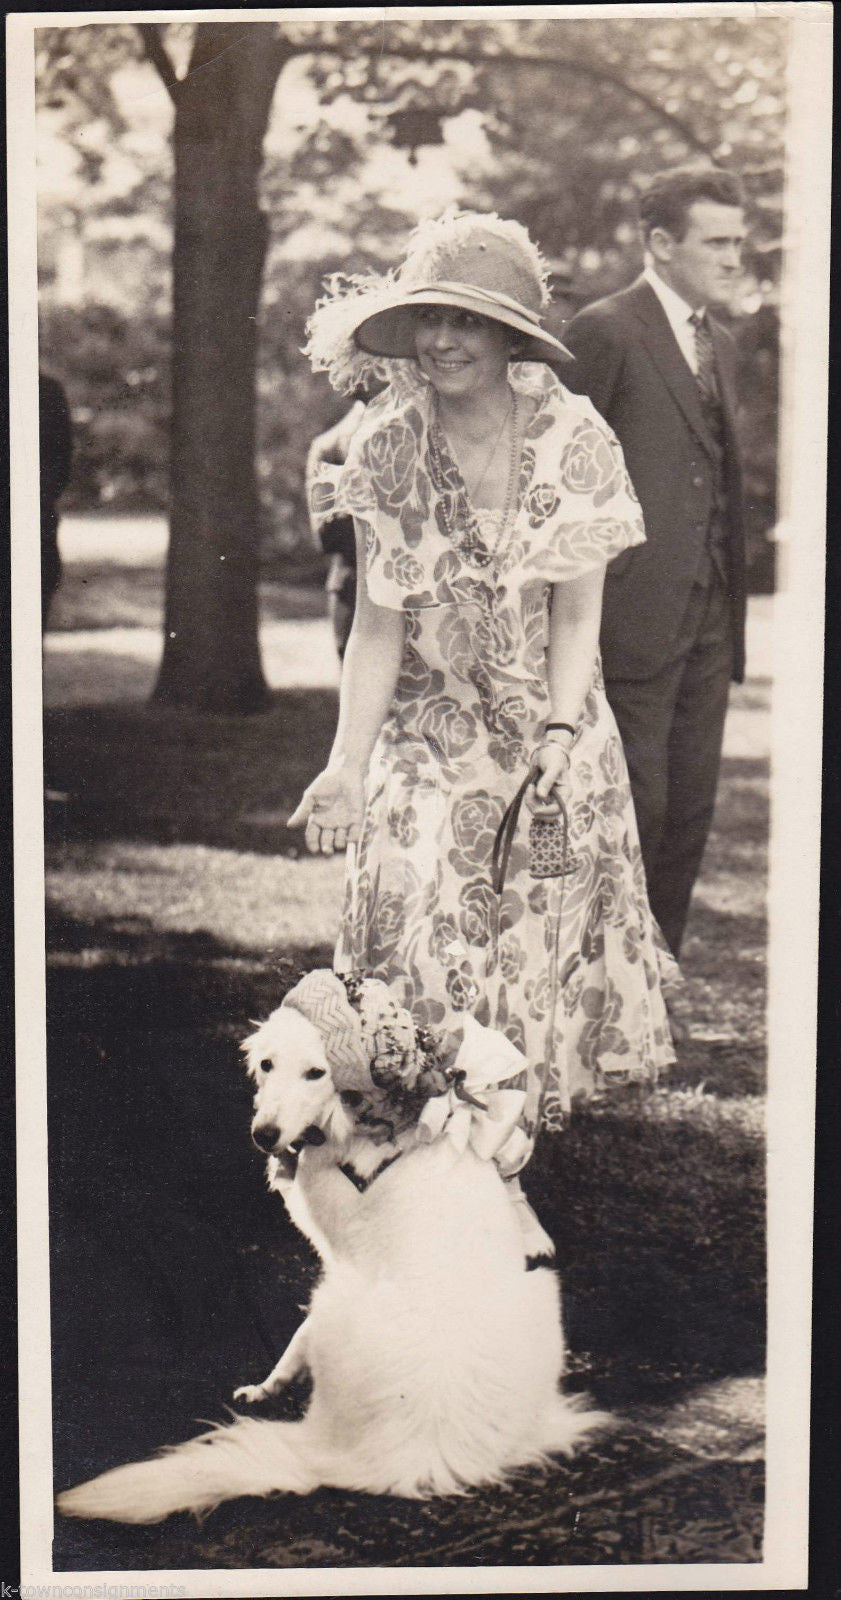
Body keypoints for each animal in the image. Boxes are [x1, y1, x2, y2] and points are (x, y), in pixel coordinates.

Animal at [57, 972, 607, 1523]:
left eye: (317, 1073)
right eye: (267, 1065)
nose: (264, 1136)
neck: (376, 1119)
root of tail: (413, 1457)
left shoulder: (335, 1251)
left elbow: (298, 1334)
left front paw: (270, 1381)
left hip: (340, 1298)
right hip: (540, 1290)